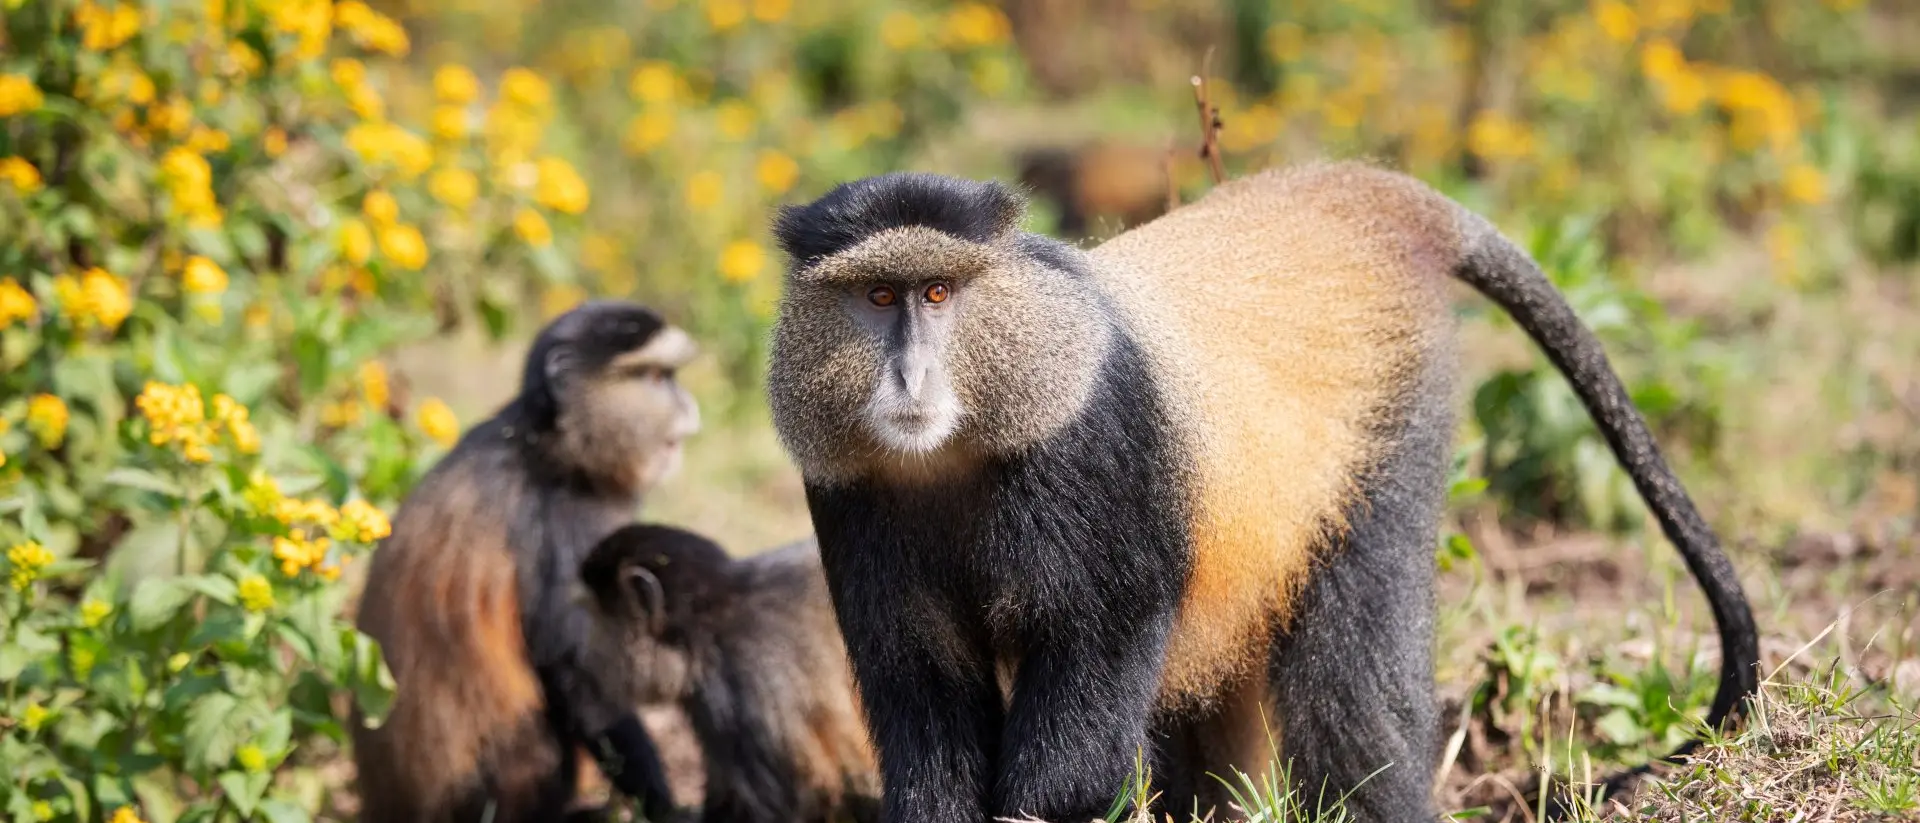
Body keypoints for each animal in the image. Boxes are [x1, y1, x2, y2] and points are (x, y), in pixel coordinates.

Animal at [350, 300, 701, 823]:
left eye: (670, 376)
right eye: (657, 378)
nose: (690, 409)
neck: (548, 443)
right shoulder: (568, 522)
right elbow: (579, 679)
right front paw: (667, 809)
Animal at [761, 165, 1761, 823]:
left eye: (937, 291)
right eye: (877, 296)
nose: (908, 379)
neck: (962, 446)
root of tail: (1346, 197)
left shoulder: (1101, 460)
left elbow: (1081, 727)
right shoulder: (848, 498)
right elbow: (926, 709)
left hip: (1389, 429)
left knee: (1354, 689)